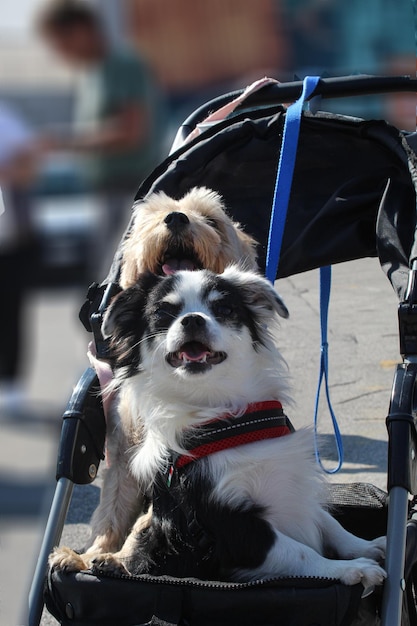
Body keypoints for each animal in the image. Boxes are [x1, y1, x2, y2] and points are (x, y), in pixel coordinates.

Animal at [50, 266, 386, 584]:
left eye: (224, 309)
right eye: (163, 312)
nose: (192, 320)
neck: (222, 414)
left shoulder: (297, 489)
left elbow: (328, 523)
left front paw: (366, 546)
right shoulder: (229, 525)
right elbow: (299, 552)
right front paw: (349, 569)